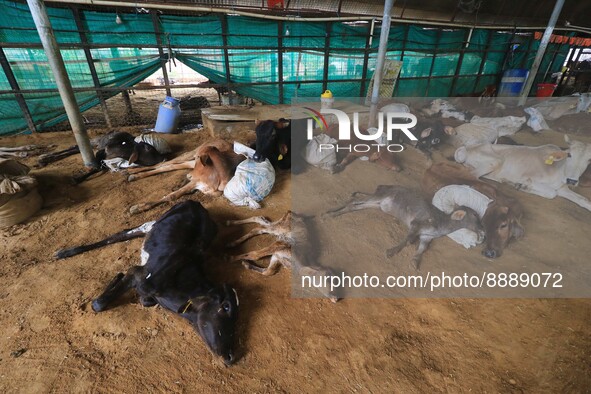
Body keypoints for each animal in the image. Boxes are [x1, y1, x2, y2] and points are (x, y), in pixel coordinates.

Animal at [55, 203, 240, 366]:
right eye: (225, 307)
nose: (231, 356)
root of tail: (197, 204)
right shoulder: (138, 274)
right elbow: (98, 304)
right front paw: (116, 279)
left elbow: (144, 300)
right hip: (152, 223)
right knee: (118, 235)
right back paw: (66, 252)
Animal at [456, 134, 591, 211]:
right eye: (569, 155)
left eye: (589, 159)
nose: (572, 180)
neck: (559, 169)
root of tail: (466, 148)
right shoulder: (528, 179)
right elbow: (552, 193)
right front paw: (523, 187)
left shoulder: (563, 188)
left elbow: (584, 201)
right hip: (496, 161)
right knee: (472, 174)